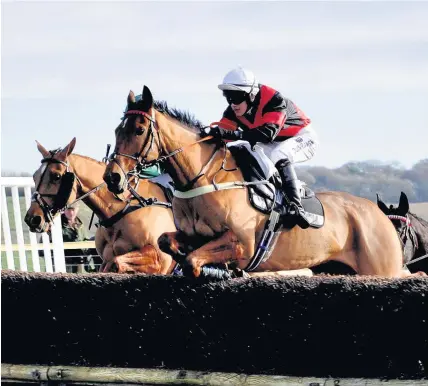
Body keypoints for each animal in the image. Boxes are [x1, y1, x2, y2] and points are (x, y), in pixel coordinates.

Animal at [23, 138, 177, 274]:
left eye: (56, 176)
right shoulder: (106, 258)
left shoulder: (159, 259)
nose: (33, 219)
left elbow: (115, 263)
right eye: (35, 176)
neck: (121, 211)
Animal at [104, 86, 422, 280]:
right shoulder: (192, 236)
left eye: (139, 129)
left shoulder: (242, 244)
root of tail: (378, 214)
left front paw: (218, 271)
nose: (112, 177)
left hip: (381, 267)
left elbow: (194, 261)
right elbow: (167, 243)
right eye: (118, 129)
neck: (204, 178)